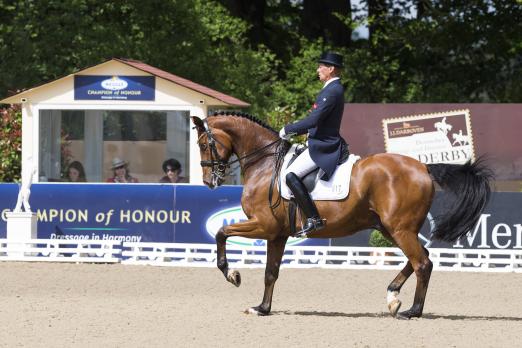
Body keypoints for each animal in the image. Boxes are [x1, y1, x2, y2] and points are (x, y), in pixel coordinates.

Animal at [189, 113, 490, 320]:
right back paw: (393, 297)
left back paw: (412, 311)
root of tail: (424, 167)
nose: (208, 181)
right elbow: (271, 272)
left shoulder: (263, 226)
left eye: (204, 144)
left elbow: (221, 234)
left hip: (400, 229)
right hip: (391, 228)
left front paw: (232, 274)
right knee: (420, 258)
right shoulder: (277, 234)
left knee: (422, 263)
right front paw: (262, 308)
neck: (264, 164)